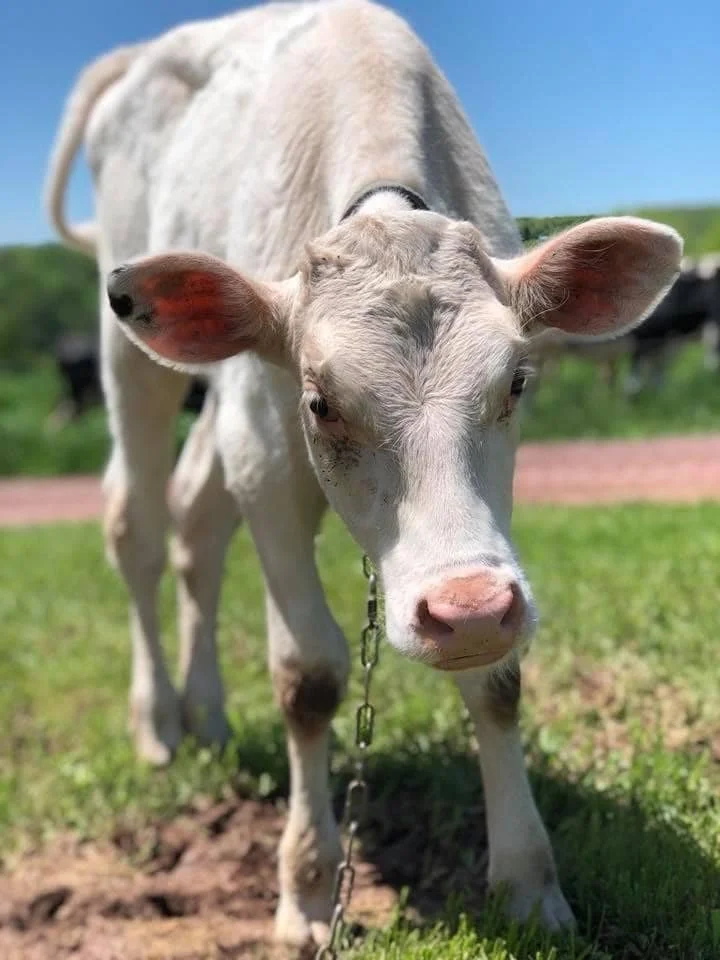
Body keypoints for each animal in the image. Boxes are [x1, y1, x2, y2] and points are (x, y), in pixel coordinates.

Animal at [45, 1, 681, 947]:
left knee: (196, 523)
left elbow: (498, 682)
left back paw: (207, 713)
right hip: (136, 365)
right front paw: (307, 891)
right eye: (321, 402)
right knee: (141, 527)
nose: (468, 610)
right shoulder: (267, 455)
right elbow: (307, 676)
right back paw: (158, 721)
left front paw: (530, 886)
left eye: (516, 383)